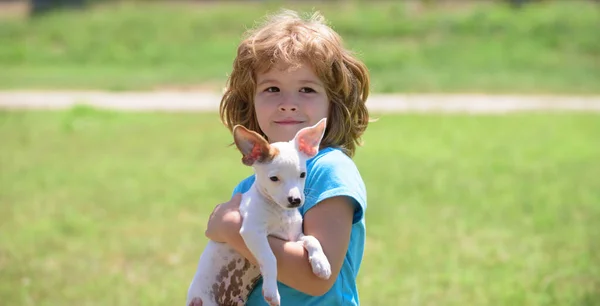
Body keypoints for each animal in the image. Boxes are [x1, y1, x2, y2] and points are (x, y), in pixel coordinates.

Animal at [186, 118, 330, 306]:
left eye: (302, 174)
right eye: (274, 178)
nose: (295, 200)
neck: (280, 212)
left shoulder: (295, 237)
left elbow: (313, 239)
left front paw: (321, 263)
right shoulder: (252, 231)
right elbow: (270, 258)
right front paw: (271, 292)